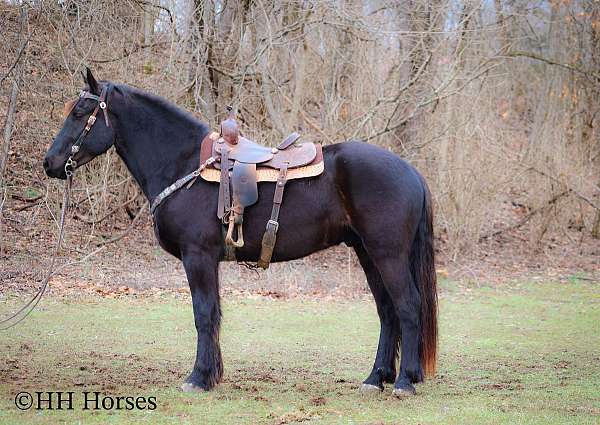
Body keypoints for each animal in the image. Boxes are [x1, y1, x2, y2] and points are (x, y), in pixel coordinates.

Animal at [42, 68, 436, 396]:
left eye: (79, 113)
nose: (50, 163)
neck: (183, 163)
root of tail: (410, 171)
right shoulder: (207, 260)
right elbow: (213, 313)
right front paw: (211, 375)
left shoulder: (197, 256)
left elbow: (203, 314)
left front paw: (198, 378)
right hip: (368, 254)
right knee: (387, 311)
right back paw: (376, 378)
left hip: (387, 254)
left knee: (407, 307)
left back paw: (404, 382)